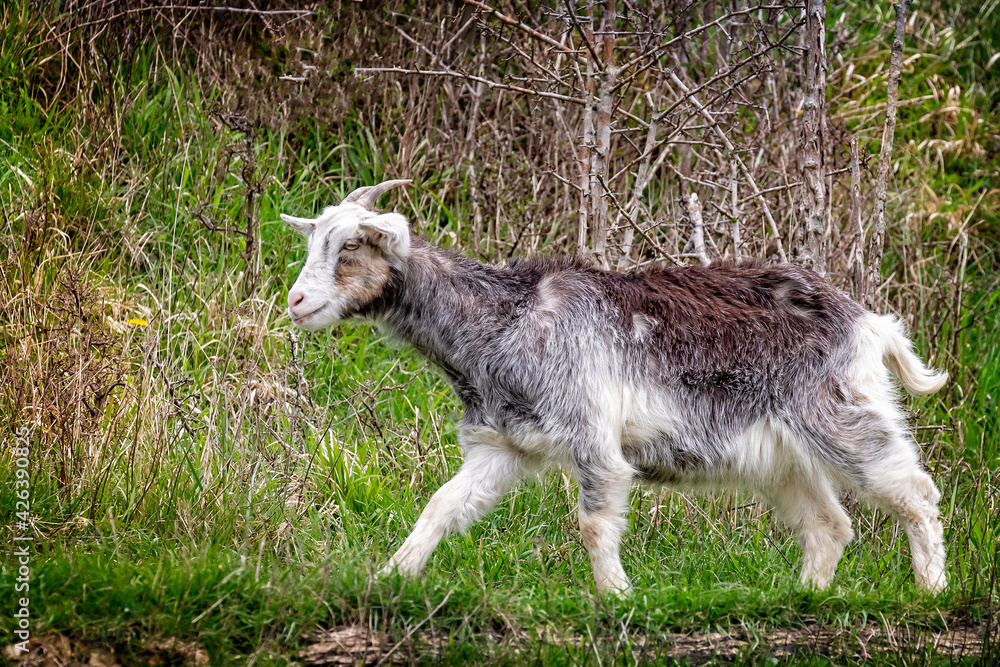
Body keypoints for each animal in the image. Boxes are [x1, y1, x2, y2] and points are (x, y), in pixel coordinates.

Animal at [283, 180, 948, 593]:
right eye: (316, 239)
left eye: (351, 244)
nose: (296, 302)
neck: (508, 320)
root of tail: (869, 323)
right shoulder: (502, 445)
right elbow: (442, 506)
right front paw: (391, 577)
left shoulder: (592, 437)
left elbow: (594, 524)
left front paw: (618, 597)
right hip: (781, 458)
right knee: (830, 525)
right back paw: (805, 595)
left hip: (844, 418)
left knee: (915, 492)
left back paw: (931, 591)